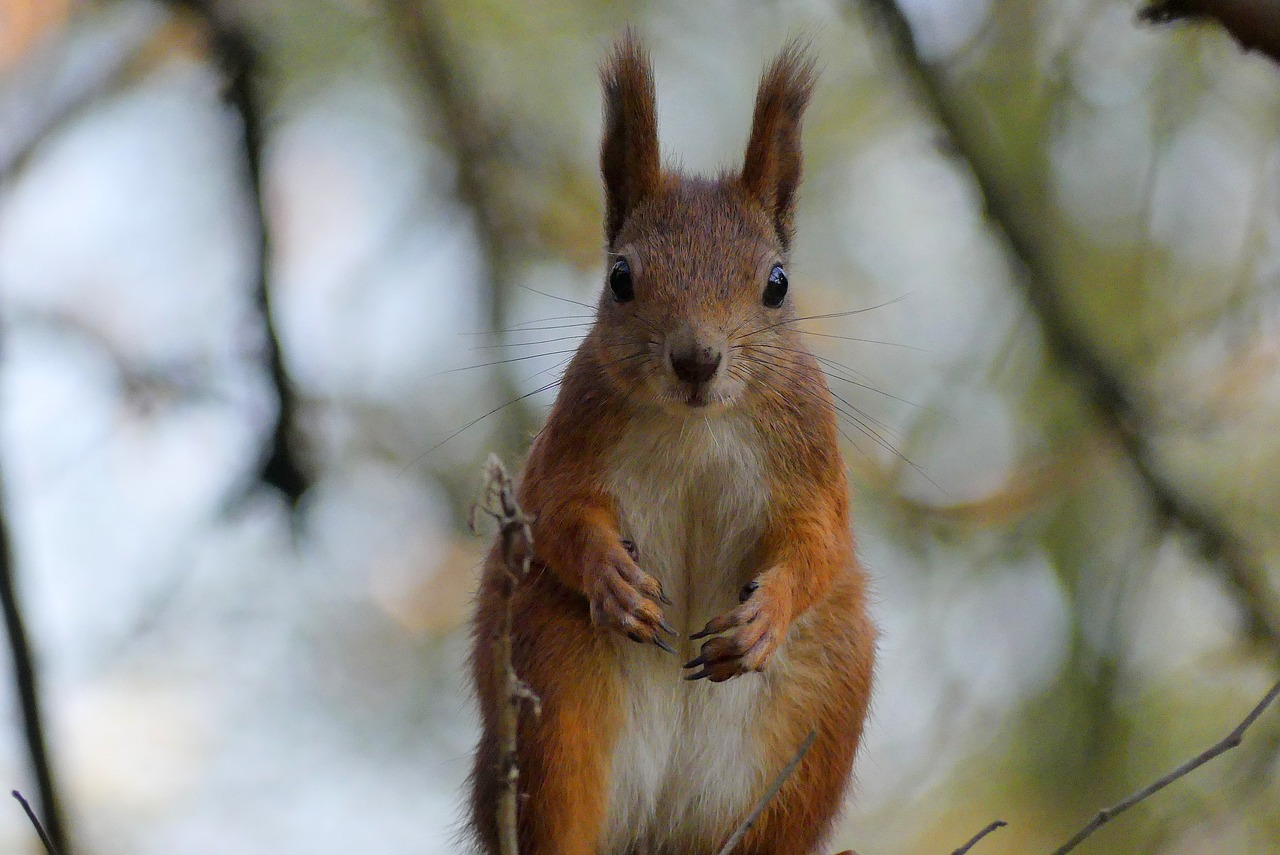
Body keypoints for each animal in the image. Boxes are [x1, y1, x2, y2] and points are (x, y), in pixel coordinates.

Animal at [471, 30, 880, 855]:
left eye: (778, 283)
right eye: (621, 277)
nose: (696, 359)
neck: (698, 427)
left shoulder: (810, 455)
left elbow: (818, 543)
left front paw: (765, 614)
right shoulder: (572, 439)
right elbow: (557, 515)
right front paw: (611, 576)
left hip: (812, 725)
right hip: (555, 687)